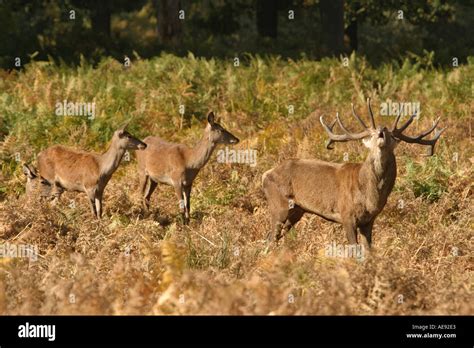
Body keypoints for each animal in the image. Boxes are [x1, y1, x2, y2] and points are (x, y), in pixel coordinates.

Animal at [262, 98, 444, 250]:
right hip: (279, 205)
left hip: (297, 211)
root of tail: (265, 174)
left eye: (391, 136)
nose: (382, 130)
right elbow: (354, 249)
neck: (369, 196)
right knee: (271, 237)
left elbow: (368, 250)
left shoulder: (369, 220)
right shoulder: (346, 214)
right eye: (372, 134)